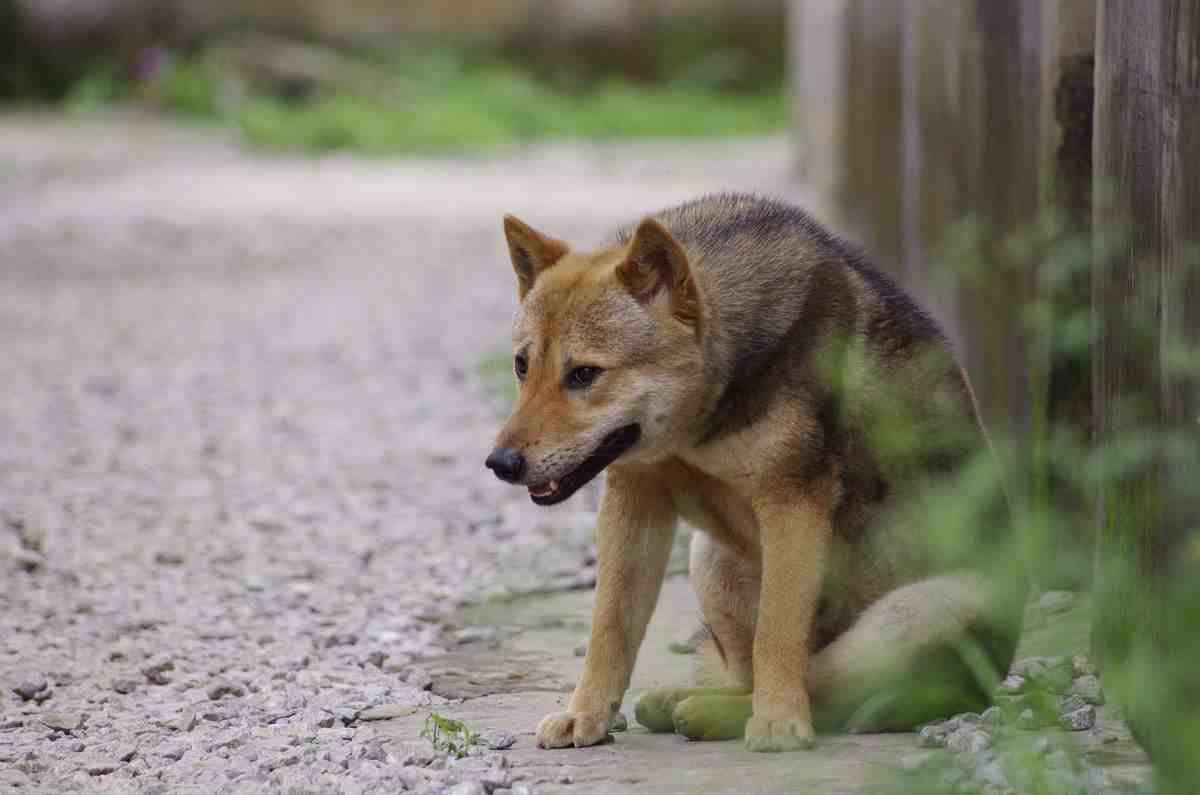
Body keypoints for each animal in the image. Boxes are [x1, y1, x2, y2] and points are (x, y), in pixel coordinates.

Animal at [484, 193, 1022, 754]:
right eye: (522, 366)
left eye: (584, 374)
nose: (500, 463)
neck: (700, 421)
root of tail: (979, 690)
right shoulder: (635, 497)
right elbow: (610, 625)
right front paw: (584, 715)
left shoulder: (792, 504)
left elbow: (777, 634)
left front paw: (779, 723)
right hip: (712, 559)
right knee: (755, 673)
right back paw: (687, 702)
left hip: (918, 613)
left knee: (823, 688)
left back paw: (719, 713)